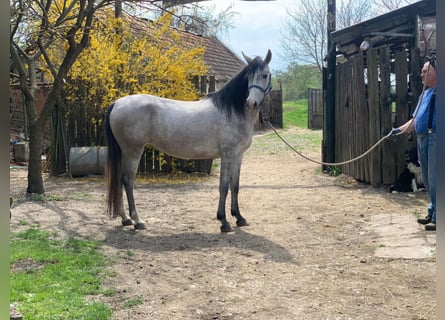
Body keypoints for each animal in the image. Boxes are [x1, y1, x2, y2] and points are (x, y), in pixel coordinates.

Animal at [105, 48, 270, 231]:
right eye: (249, 77)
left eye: (265, 75)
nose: (251, 103)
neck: (232, 111)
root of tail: (117, 103)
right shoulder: (228, 155)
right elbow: (224, 186)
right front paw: (224, 221)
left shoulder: (238, 156)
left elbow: (235, 186)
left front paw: (239, 217)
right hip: (133, 151)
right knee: (128, 180)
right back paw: (138, 220)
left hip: (124, 151)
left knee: (119, 179)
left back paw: (125, 218)